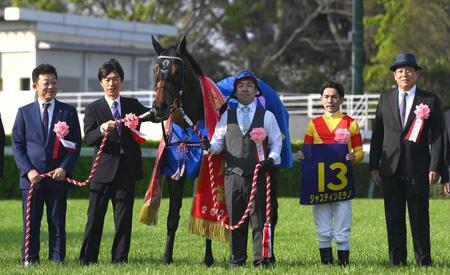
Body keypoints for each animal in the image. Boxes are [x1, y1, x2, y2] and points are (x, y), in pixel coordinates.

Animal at [148, 35, 216, 266]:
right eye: (156, 68)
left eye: (177, 70)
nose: (159, 107)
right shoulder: (175, 174)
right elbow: (172, 218)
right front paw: (166, 256)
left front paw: (209, 258)